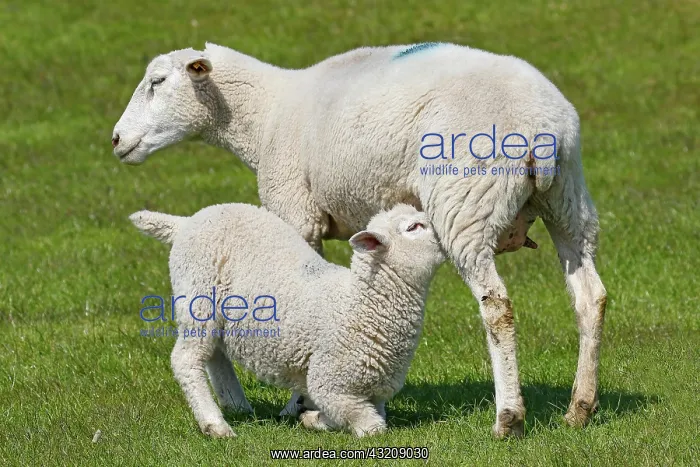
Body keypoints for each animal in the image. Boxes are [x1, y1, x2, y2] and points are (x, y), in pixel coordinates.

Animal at [129, 202, 445, 438]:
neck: (358, 305)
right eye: (413, 227)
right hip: (198, 295)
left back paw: (236, 404)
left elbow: (358, 415)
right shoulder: (331, 383)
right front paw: (315, 419)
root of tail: (187, 222)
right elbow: (372, 427)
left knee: (215, 354)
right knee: (187, 359)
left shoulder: (375, 393)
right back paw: (215, 424)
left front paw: (310, 418)